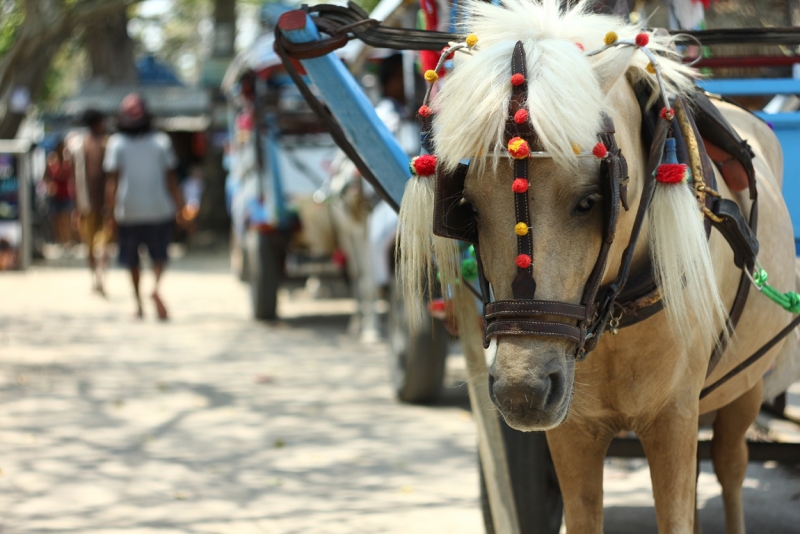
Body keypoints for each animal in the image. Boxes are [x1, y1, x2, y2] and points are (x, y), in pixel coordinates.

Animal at [398, 2, 800, 532]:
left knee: (730, 465)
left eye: (590, 200)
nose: (522, 392)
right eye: (469, 208)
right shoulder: (572, 427)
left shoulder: (674, 415)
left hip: (746, 385)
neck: (613, 309)